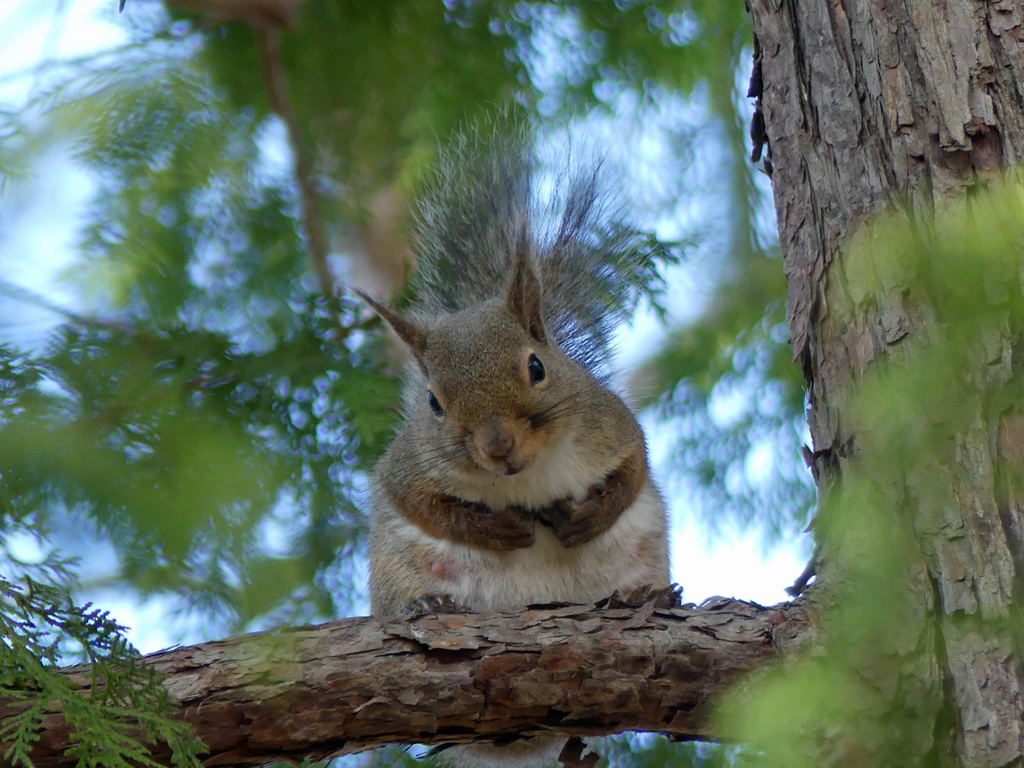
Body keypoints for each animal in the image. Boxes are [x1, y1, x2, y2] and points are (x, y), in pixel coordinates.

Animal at [358, 123, 671, 765]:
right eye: (434, 403)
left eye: (536, 366)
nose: (498, 446)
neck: (527, 476)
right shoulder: (408, 466)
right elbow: (418, 503)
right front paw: (496, 529)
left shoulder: (611, 424)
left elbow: (634, 470)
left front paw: (590, 515)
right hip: (401, 569)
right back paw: (429, 606)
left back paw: (642, 599)